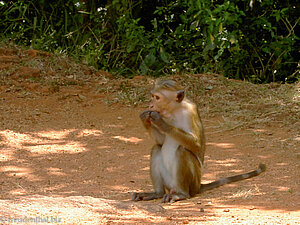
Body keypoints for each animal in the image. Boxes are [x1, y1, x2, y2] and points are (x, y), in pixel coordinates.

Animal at [131, 80, 264, 203]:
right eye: (152, 96)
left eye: (157, 98)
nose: (151, 105)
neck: (174, 110)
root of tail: (199, 185)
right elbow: (161, 141)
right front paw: (145, 120)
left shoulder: (191, 111)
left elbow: (197, 145)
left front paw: (161, 123)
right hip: (168, 182)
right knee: (157, 148)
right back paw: (157, 193)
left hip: (193, 183)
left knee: (182, 151)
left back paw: (182, 194)